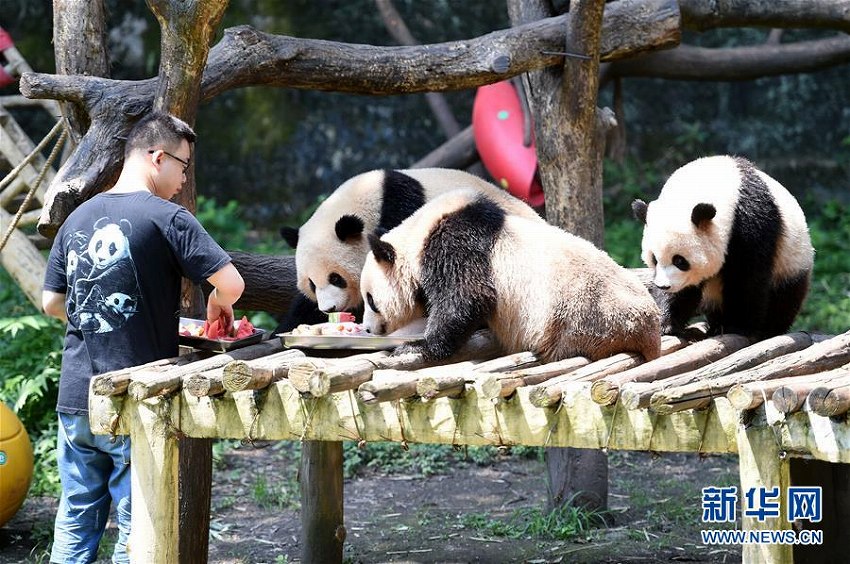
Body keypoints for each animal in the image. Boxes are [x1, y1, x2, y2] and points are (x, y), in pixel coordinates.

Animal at [360, 187, 664, 364]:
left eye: (371, 300)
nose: (368, 330)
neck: (419, 234)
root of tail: (649, 331)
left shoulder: (454, 245)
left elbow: (467, 297)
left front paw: (417, 346)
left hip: (582, 320)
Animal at [632, 154, 812, 340]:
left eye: (680, 261)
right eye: (654, 259)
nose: (664, 286)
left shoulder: (752, 223)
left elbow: (746, 276)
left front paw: (738, 326)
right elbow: (684, 290)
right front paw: (667, 323)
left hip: (791, 260)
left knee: (785, 296)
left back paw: (768, 329)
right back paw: (716, 325)